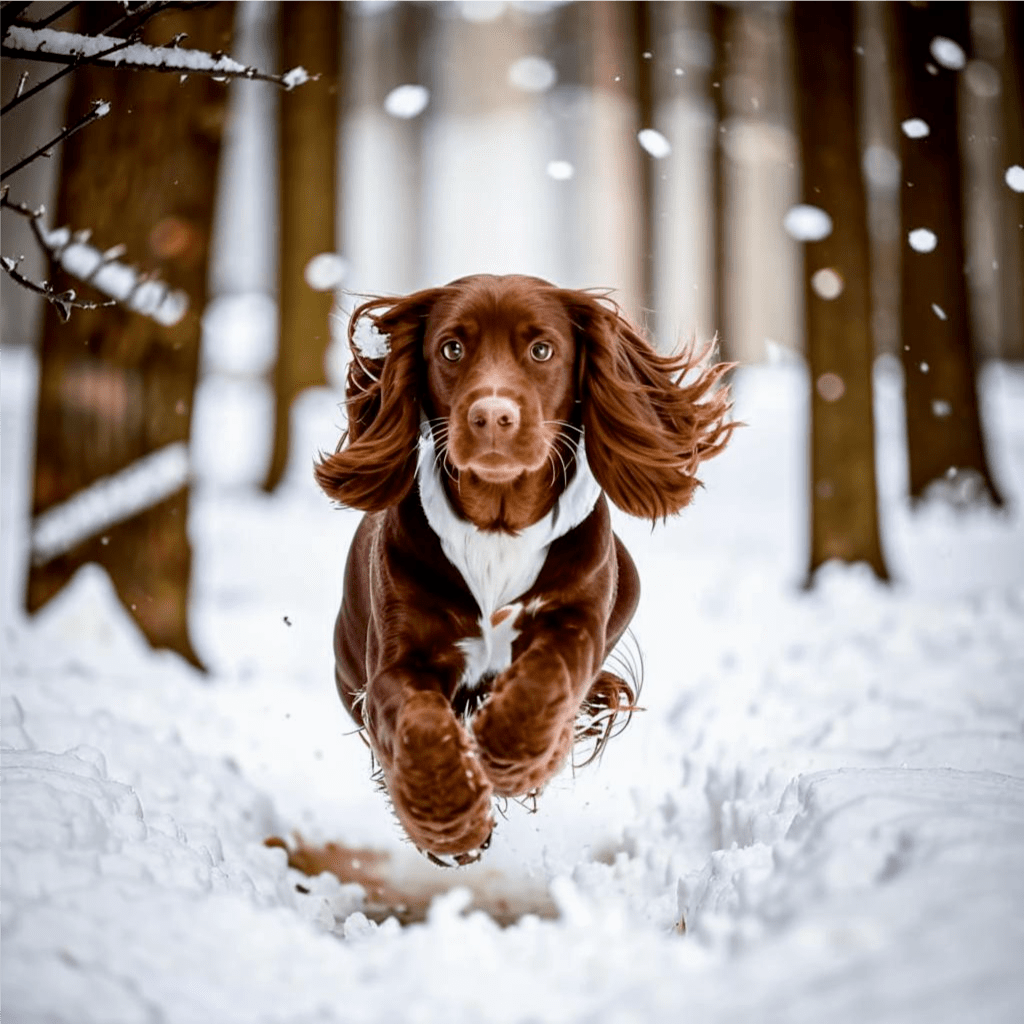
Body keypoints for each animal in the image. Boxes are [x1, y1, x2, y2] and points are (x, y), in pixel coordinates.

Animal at [315, 274, 733, 864]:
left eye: (541, 350)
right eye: (452, 348)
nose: (492, 416)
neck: (497, 526)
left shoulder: (577, 623)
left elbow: (547, 676)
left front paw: (504, 752)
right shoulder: (395, 661)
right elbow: (420, 722)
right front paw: (450, 818)